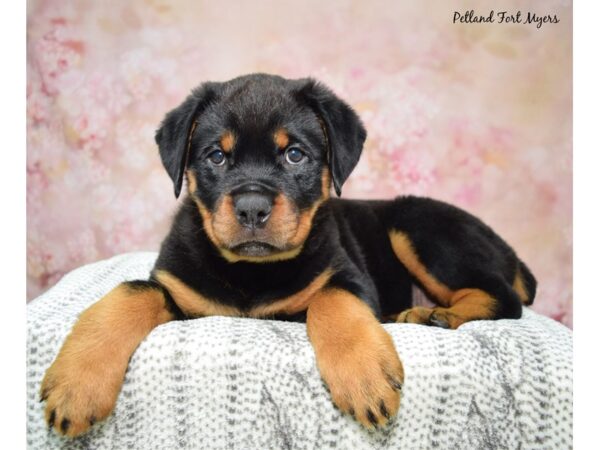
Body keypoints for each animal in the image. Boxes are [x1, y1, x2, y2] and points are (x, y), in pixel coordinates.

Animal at [39, 73, 536, 436]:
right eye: (216, 157)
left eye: (295, 155)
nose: (252, 207)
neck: (252, 272)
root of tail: (509, 252)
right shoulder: (175, 287)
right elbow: (130, 292)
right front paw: (76, 385)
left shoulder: (351, 278)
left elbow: (331, 300)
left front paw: (364, 376)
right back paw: (423, 314)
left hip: (416, 225)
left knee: (504, 298)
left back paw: (439, 316)